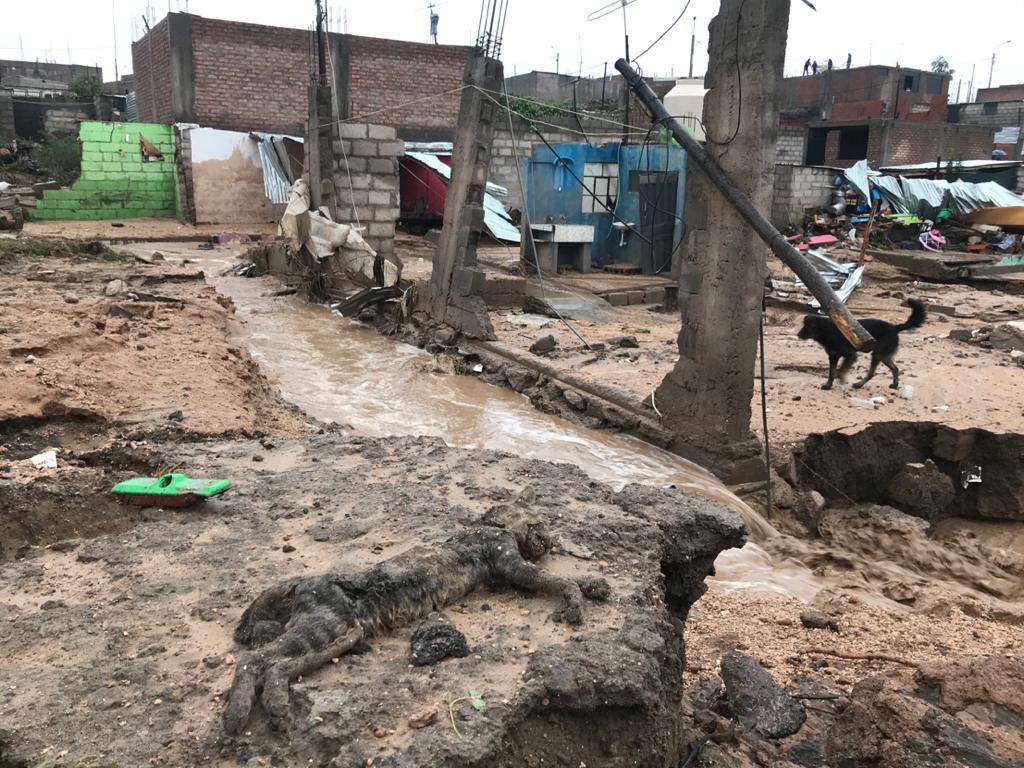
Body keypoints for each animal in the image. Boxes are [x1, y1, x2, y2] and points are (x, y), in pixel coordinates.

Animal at [798, 299, 929, 391]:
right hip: (883, 355)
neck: (826, 331)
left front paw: (841, 378)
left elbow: (839, 371)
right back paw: (894, 385)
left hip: (878, 353)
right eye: (803, 325)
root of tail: (894, 327)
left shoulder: (850, 355)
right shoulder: (833, 356)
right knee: (895, 369)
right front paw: (828, 385)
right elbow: (831, 373)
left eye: (809, 326)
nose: (798, 335)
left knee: (872, 373)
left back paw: (859, 384)